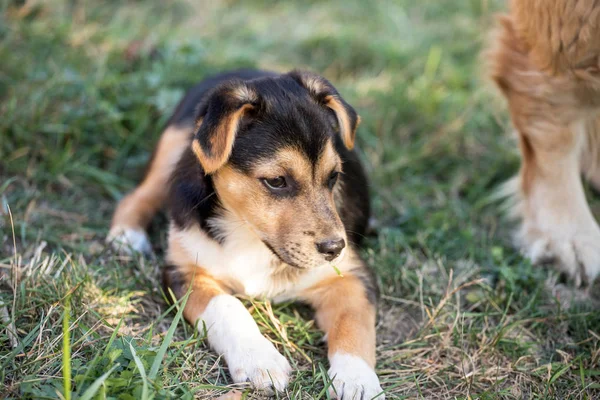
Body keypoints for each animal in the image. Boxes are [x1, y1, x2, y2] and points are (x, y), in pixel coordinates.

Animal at [108, 70, 384, 398]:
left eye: (334, 177)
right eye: (276, 181)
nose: (334, 248)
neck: (250, 235)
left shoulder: (351, 276)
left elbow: (353, 322)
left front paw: (358, 380)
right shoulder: (184, 271)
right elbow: (227, 307)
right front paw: (259, 360)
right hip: (172, 149)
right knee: (138, 195)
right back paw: (127, 235)